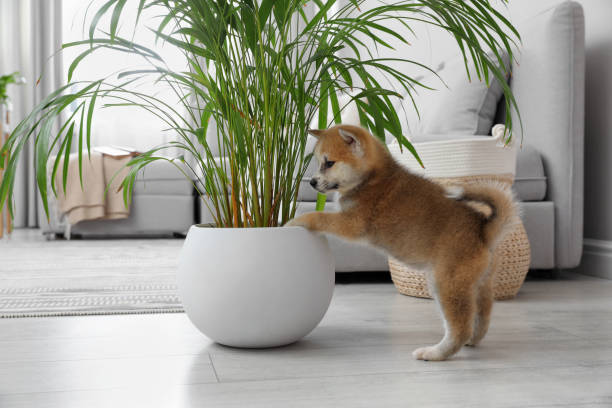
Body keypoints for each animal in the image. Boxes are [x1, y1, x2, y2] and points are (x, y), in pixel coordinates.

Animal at [288, 123, 516, 360]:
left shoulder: (351, 223)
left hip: (447, 283)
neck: (372, 178)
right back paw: (473, 339)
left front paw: (296, 221)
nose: (312, 182)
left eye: (329, 163)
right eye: (319, 162)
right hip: (479, 283)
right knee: (483, 317)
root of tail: (482, 229)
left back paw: (435, 352)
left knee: (459, 328)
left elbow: (319, 217)